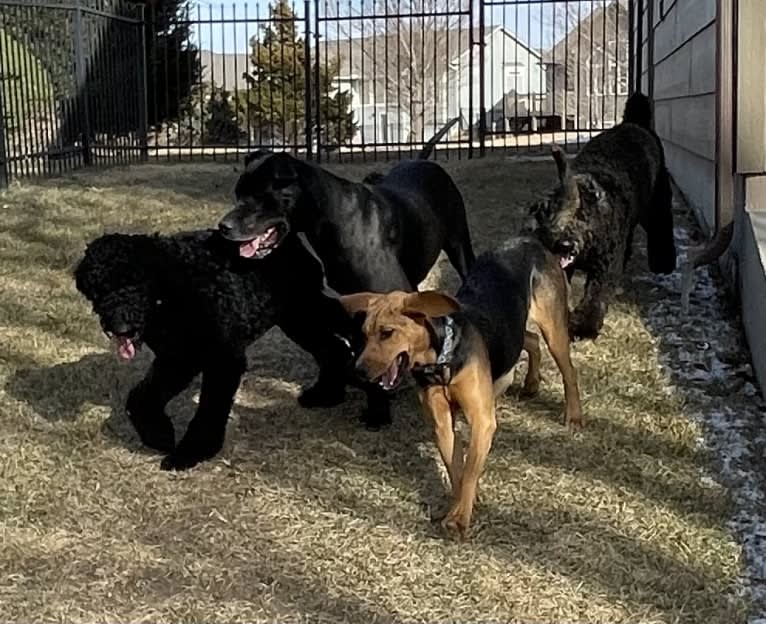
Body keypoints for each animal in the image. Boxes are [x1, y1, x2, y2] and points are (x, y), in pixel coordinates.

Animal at [75, 232, 364, 470]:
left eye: (134, 282)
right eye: (98, 289)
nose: (120, 327)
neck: (170, 288)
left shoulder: (222, 359)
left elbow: (209, 410)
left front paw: (191, 453)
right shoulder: (178, 358)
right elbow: (141, 397)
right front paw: (160, 435)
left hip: (308, 309)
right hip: (298, 320)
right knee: (332, 348)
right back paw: (325, 395)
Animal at [342, 236, 584, 540]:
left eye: (387, 333)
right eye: (364, 334)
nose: (358, 371)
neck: (444, 358)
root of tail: (529, 240)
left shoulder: (482, 421)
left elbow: (469, 471)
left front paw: (459, 520)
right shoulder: (442, 424)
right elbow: (456, 469)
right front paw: (457, 507)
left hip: (554, 328)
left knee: (568, 370)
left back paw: (573, 416)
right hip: (514, 330)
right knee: (529, 340)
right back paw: (529, 384)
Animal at [528, 90, 680, 338]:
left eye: (583, 216)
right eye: (552, 213)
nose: (564, 244)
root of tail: (634, 122)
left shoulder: (604, 267)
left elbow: (595, 296)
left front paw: (583, 325)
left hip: (656, 205)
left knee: (662, 227)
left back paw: (663, 262)